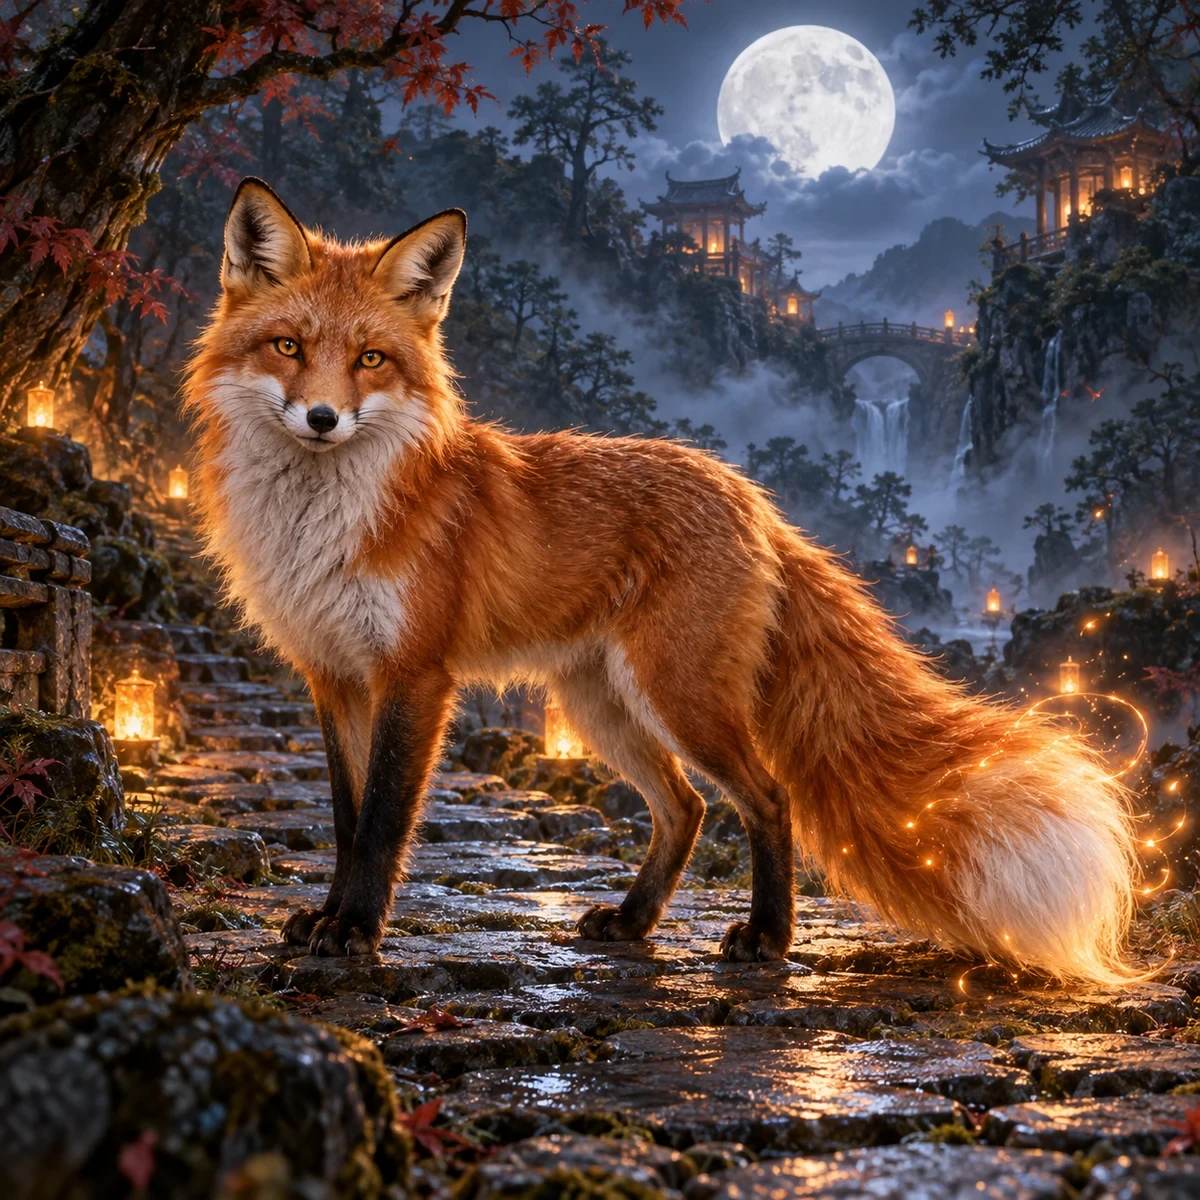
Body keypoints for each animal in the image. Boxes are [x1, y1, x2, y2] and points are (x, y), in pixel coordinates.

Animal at [184, 178, 1141, 983]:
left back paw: (767, 938)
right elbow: (346, 820)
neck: (324, 527)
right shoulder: (333, 674)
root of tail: (750, 497)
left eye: (372, 360)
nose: (322, 418)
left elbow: (384, 820)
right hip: (601, 702)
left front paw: (357, 930)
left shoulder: (414, 674)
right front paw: (325, 917)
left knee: (766, 796)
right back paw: (637, 920)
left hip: (679, 694)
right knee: (684, 807)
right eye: (289, 347)